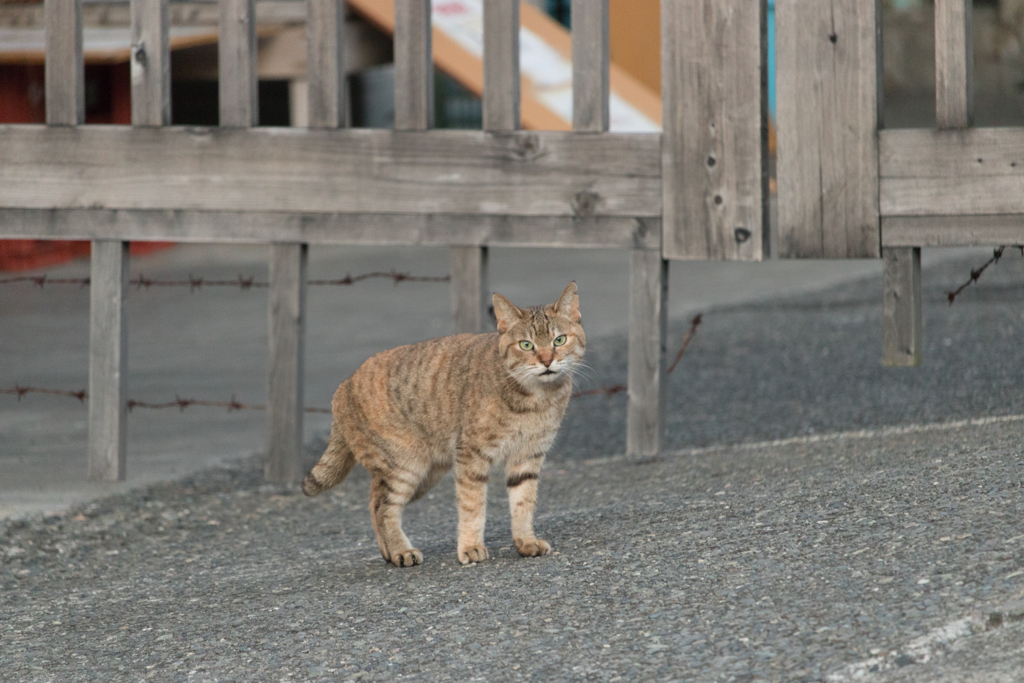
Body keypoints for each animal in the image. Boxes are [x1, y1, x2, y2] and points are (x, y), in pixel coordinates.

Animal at [301, 280, 585, 569]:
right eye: (526, 345)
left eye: (559, 340)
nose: (547, 361)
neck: (537, 398)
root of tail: (343, 385)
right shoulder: (472, 457)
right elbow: (472, 506)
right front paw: (471, 547)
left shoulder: (528, 456)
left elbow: (523, 503)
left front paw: (526, 542)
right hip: (405, 466)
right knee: (382, 505)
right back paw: (401, 551)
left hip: (427, 473)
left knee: (373, 499)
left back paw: (390, 552)